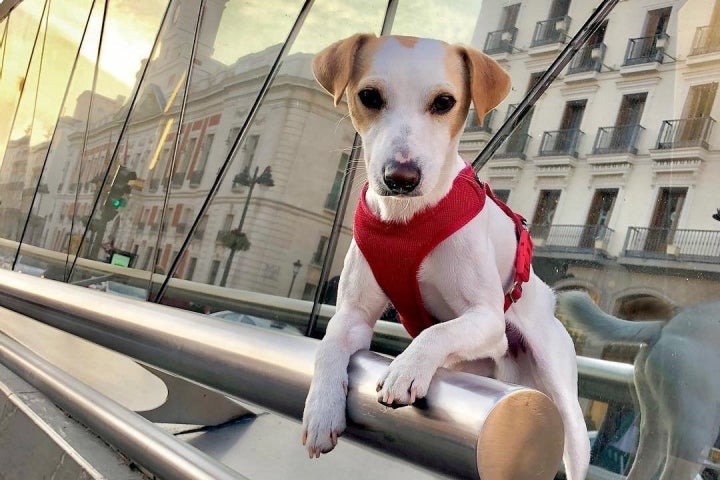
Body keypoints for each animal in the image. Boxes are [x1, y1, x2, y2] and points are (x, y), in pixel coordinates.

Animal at [300, 34, 588, 480]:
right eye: (369, 96)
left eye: (444, 102)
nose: (401, 178)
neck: (405, 222)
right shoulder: (353, 315)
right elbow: (329, 346)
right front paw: (321, 412)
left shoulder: (487, 319)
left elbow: (438, 332)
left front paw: (406, 368)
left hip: (566, 409)